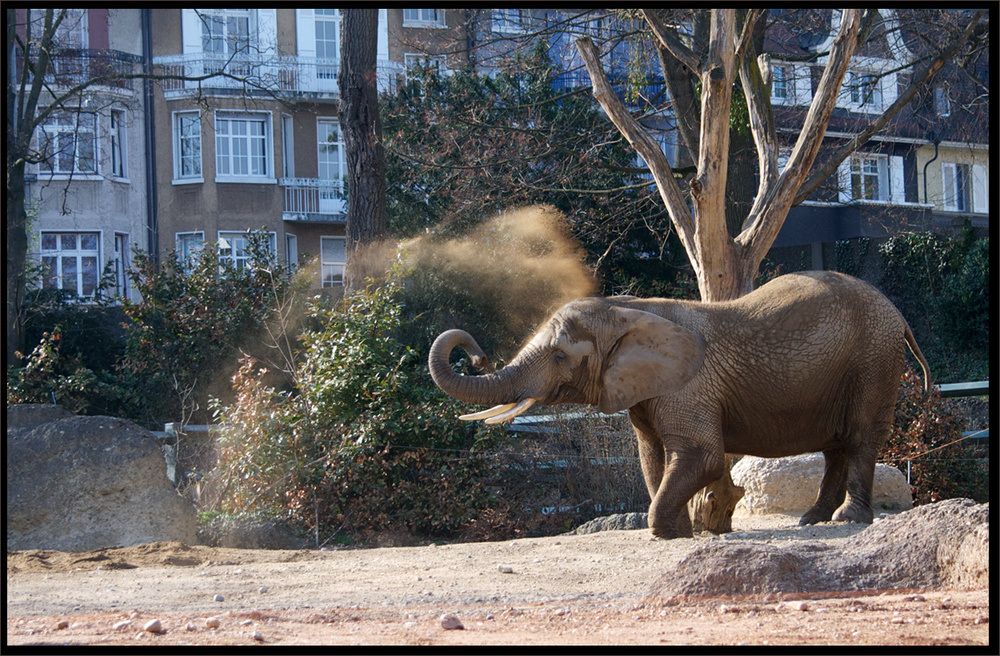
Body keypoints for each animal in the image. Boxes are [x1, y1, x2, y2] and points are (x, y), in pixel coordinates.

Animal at [428, 270, 928, 540]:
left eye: (559, 357)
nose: (475, 355)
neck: (627, 308)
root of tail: (899, 315)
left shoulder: (689, 385)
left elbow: (700, 456)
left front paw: (666, 534)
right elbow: (651, 459)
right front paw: (681, 534)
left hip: (874, 361)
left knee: (859, 438)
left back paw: (847, 519)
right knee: (835, 446)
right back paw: (811, 521)